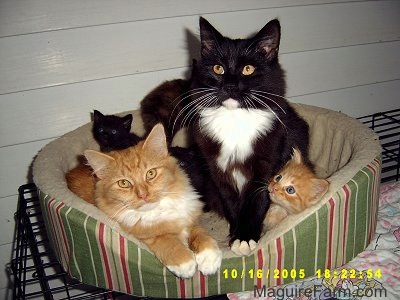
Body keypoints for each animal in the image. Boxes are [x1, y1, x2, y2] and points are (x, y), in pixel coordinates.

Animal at [79, 123, 220, 276]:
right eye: (123, 183)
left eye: (151, 173)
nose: (143, 195)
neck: (160, 209)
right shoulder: (145, 235)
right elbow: (166, 241)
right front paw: (185, 263)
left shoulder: (189, 218)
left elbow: (201, 234)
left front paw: (209, 258)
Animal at [185, 17, 312, 253]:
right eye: (218, 68)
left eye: (248, 69)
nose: (229, 86)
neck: (235, 118)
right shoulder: (217, 168)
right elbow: (230, 201)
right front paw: (236, 233)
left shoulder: (269, 158)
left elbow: (257, 198)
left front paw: (246, 237)